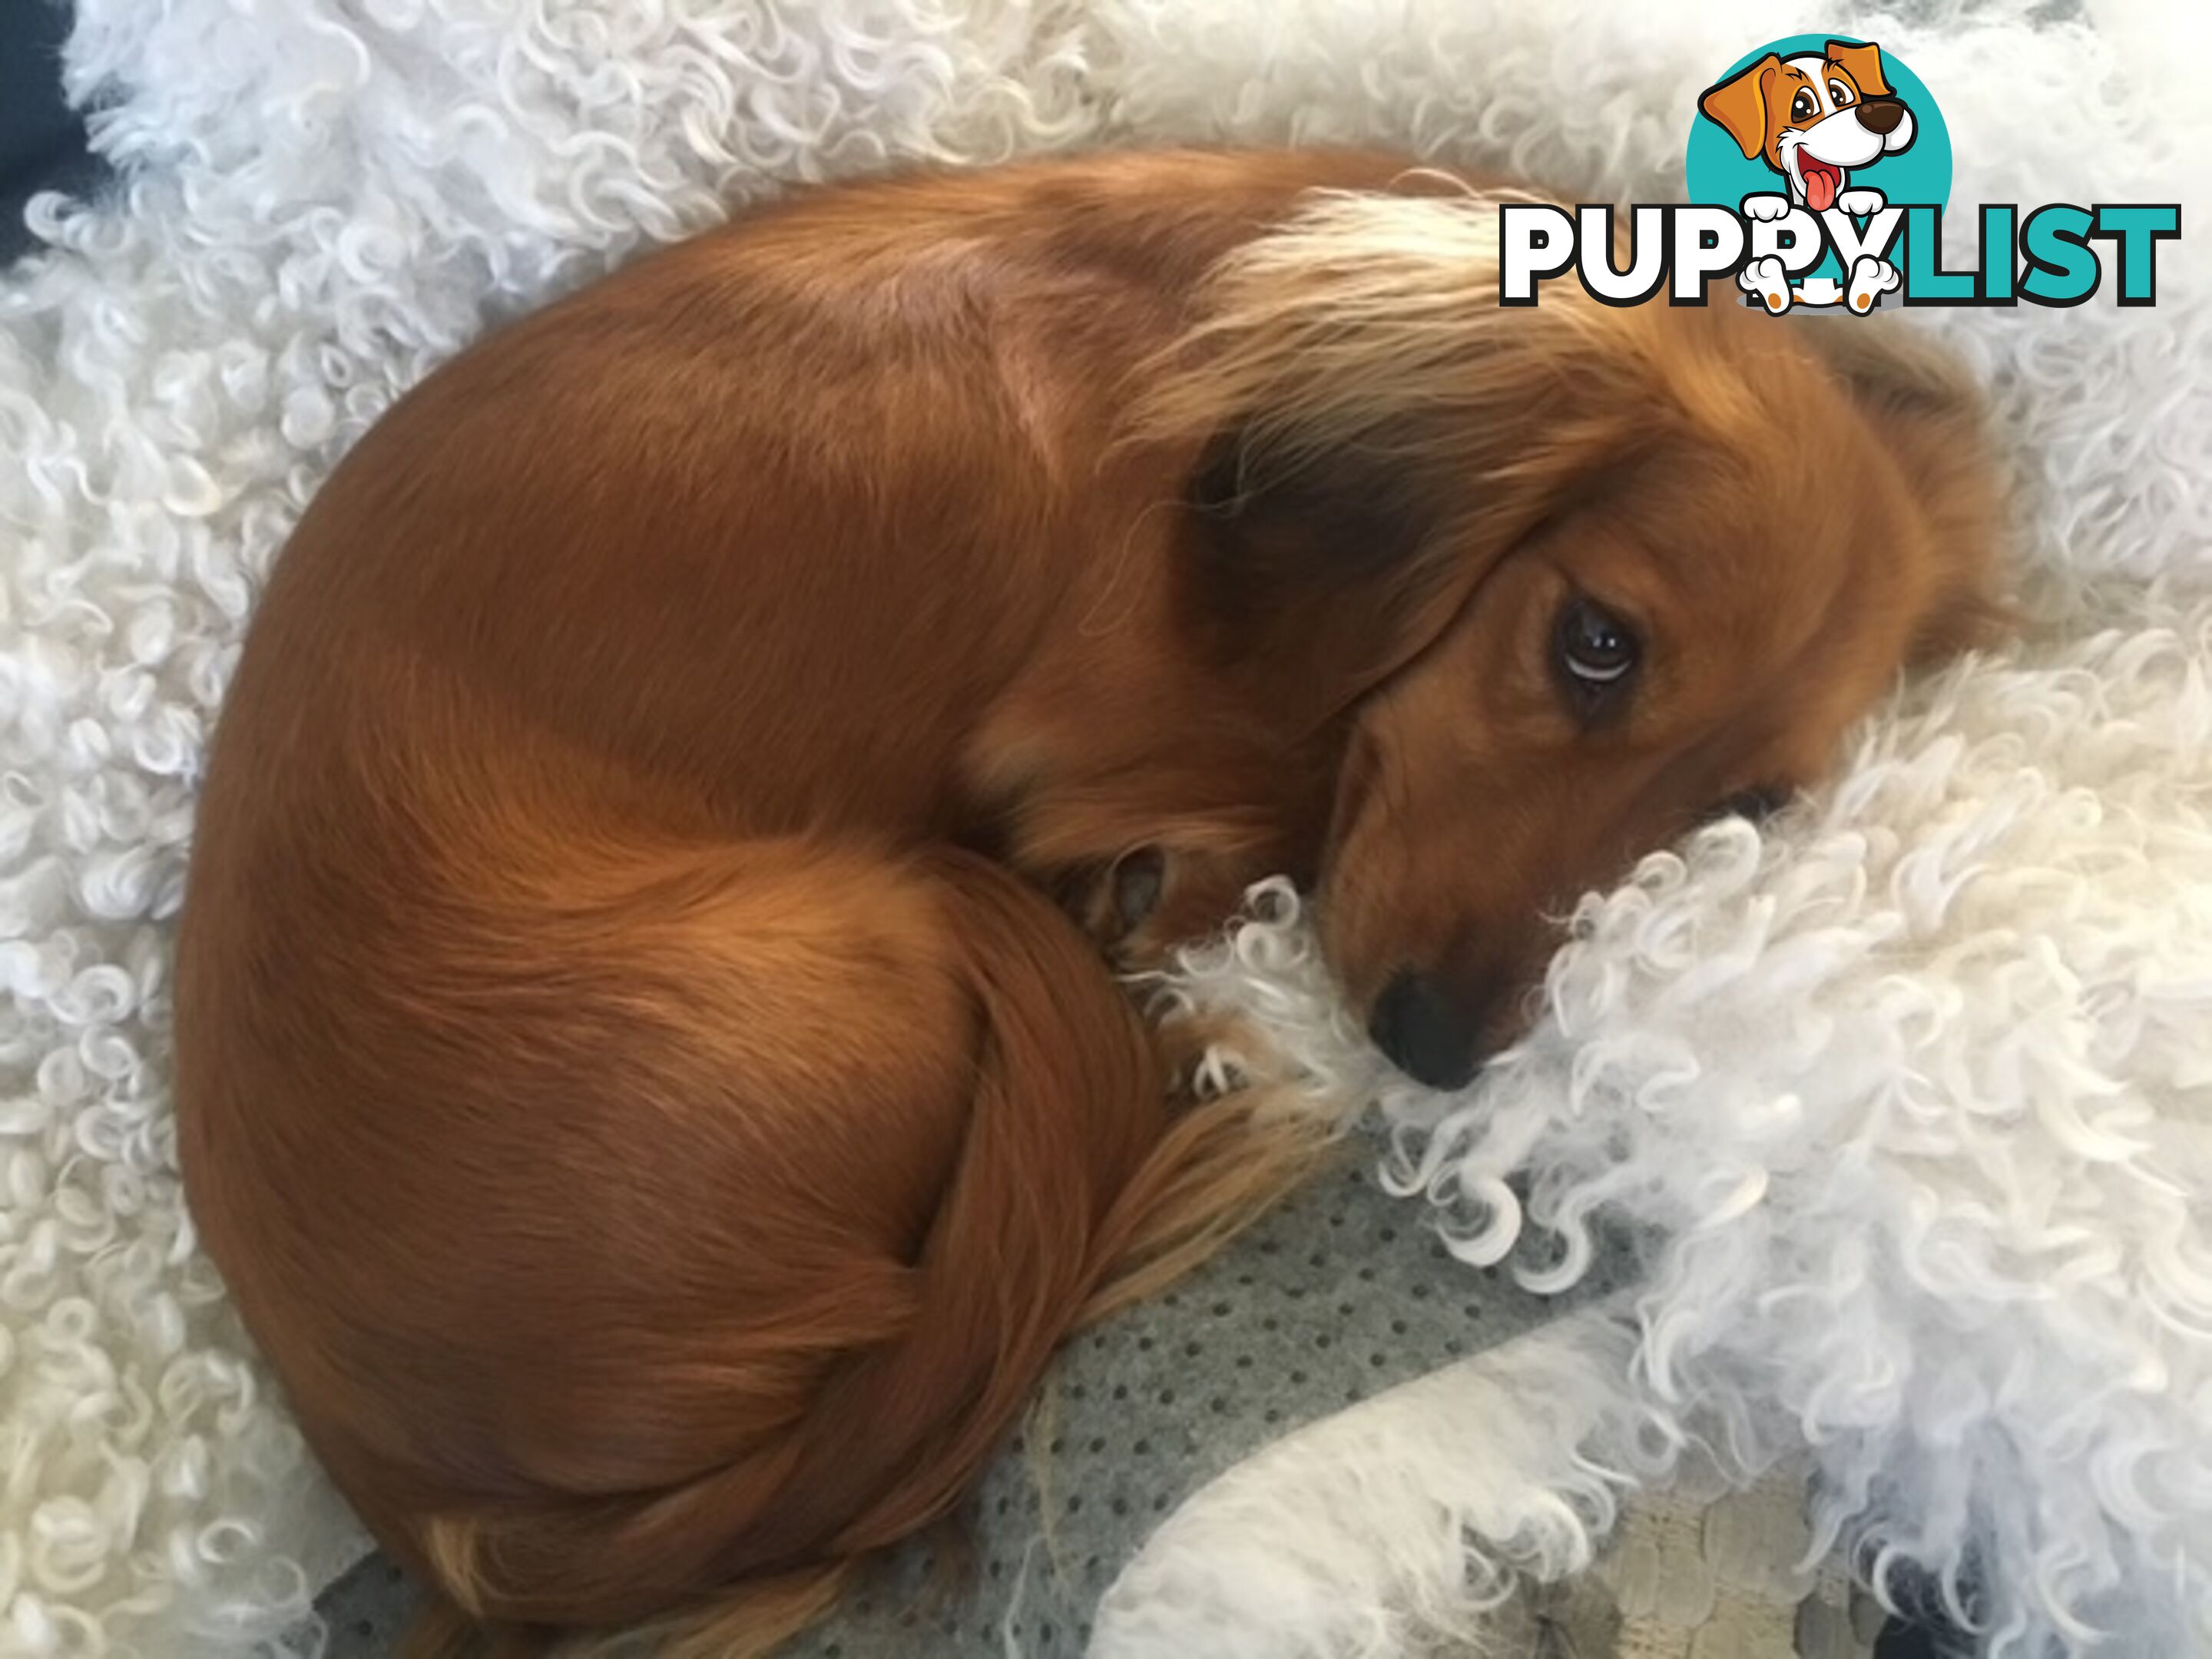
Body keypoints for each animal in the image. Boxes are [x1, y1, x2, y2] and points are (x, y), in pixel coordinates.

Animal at [172, 149, 2008, 1654]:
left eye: (1749, 806)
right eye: (1595, 641)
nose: (1426, 1050)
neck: (1204, 357)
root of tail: (424, 1498)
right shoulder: (1112, 755)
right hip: (881, 942)